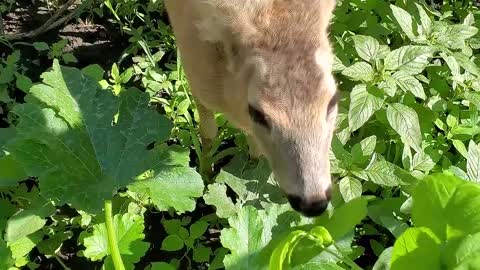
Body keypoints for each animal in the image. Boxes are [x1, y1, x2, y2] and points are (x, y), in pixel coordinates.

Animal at [165, 0, 338, 216]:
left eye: (333, 101)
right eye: (259, 113)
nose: (313, 202)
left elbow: (253, 144)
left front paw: (252, 169)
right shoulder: (193, 63)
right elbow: (208, 132)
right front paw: (206, 175)